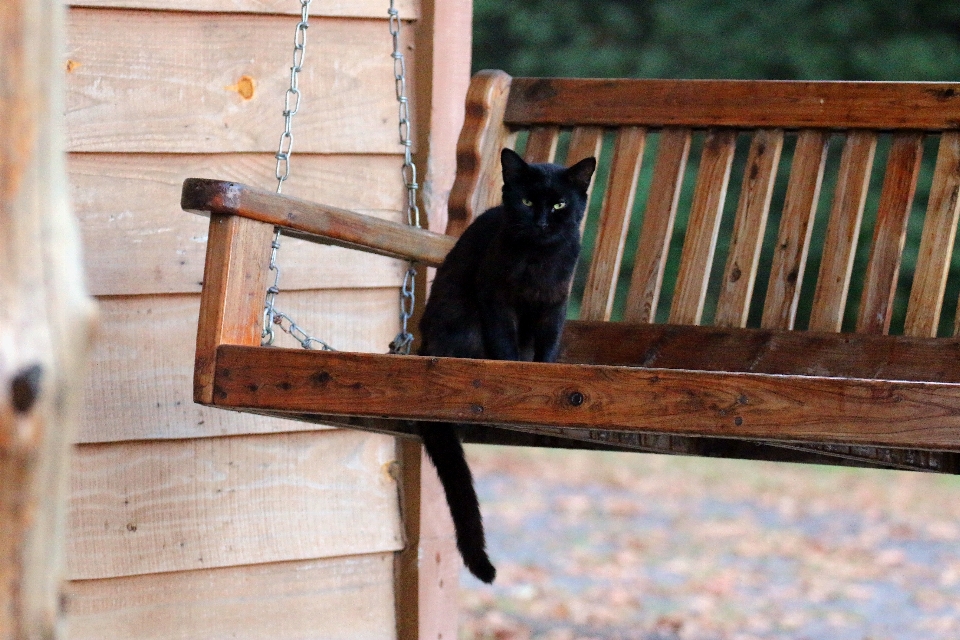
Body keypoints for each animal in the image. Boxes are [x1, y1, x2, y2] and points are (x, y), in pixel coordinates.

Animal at [418, 148, 596, 584]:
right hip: (462, 317)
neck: (539, 260)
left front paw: (542, 376)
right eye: (528, 201)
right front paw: (512, 376)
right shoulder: (497, 299)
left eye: (560, 204)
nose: (543, 220)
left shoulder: (554, 305)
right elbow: (505, 345)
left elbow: (547, 348)